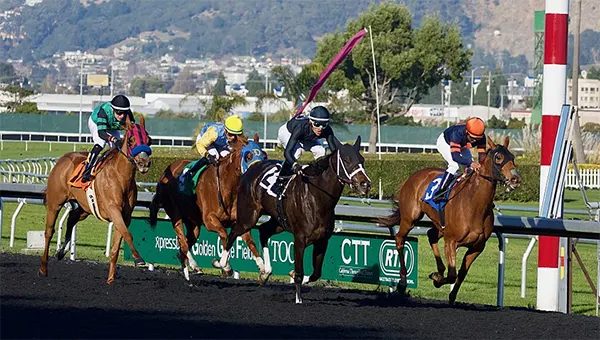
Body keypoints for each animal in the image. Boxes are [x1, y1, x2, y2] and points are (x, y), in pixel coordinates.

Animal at [38, 117, 152, 284]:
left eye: (149, 140)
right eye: (131, 140)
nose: (144, 163)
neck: (121, 176)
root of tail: (63, 158)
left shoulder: (125, 216)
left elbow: (117, 245)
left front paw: (110, 279)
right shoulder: (113, 210)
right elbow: (127, 234)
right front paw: (138, 259)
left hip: (84, 208)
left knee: (71, 218)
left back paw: (61, 252)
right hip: (55, 203)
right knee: (49, 232)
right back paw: (43, 269)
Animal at [148, 132, 268, 278]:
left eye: (264, 156)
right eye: (248, 156)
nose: (259, 173)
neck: (227, 187)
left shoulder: (239, 222)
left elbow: (250, 242)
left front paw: (263, 269)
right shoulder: (209, 219)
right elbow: (224, 235)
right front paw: (225, 266)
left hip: (193, 223)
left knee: (184, 244)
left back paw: (191, 268)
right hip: (175, 214)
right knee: (182, 240)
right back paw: (191, 268)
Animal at [220, 135, 370, 302]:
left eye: (362, 160)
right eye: (346, 160)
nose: (365, 184)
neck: (317, 198)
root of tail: (253, 167)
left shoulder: (322, 240)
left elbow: (315, 274)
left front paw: (295, 277)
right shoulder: (299, 239)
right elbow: (299, 272)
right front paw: (298, 300)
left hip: (278, 221)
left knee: (264, 231)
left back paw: (265, 273)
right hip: (248, 217)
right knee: (234, 231)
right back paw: (223, 264)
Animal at [378, 137, 516, 304]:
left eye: (513, 157)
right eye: (498, 157)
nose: (515, 179)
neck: (474, 204)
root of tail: (412, 176)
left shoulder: (477, 246)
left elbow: (461, 273)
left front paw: (451, 295)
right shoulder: (451, 241)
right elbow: (452, 274)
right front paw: (436, 279)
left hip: (440, 225)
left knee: (431, 234)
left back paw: (439, 270)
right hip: (410, 218)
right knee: (399, 239)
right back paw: (403, 282)